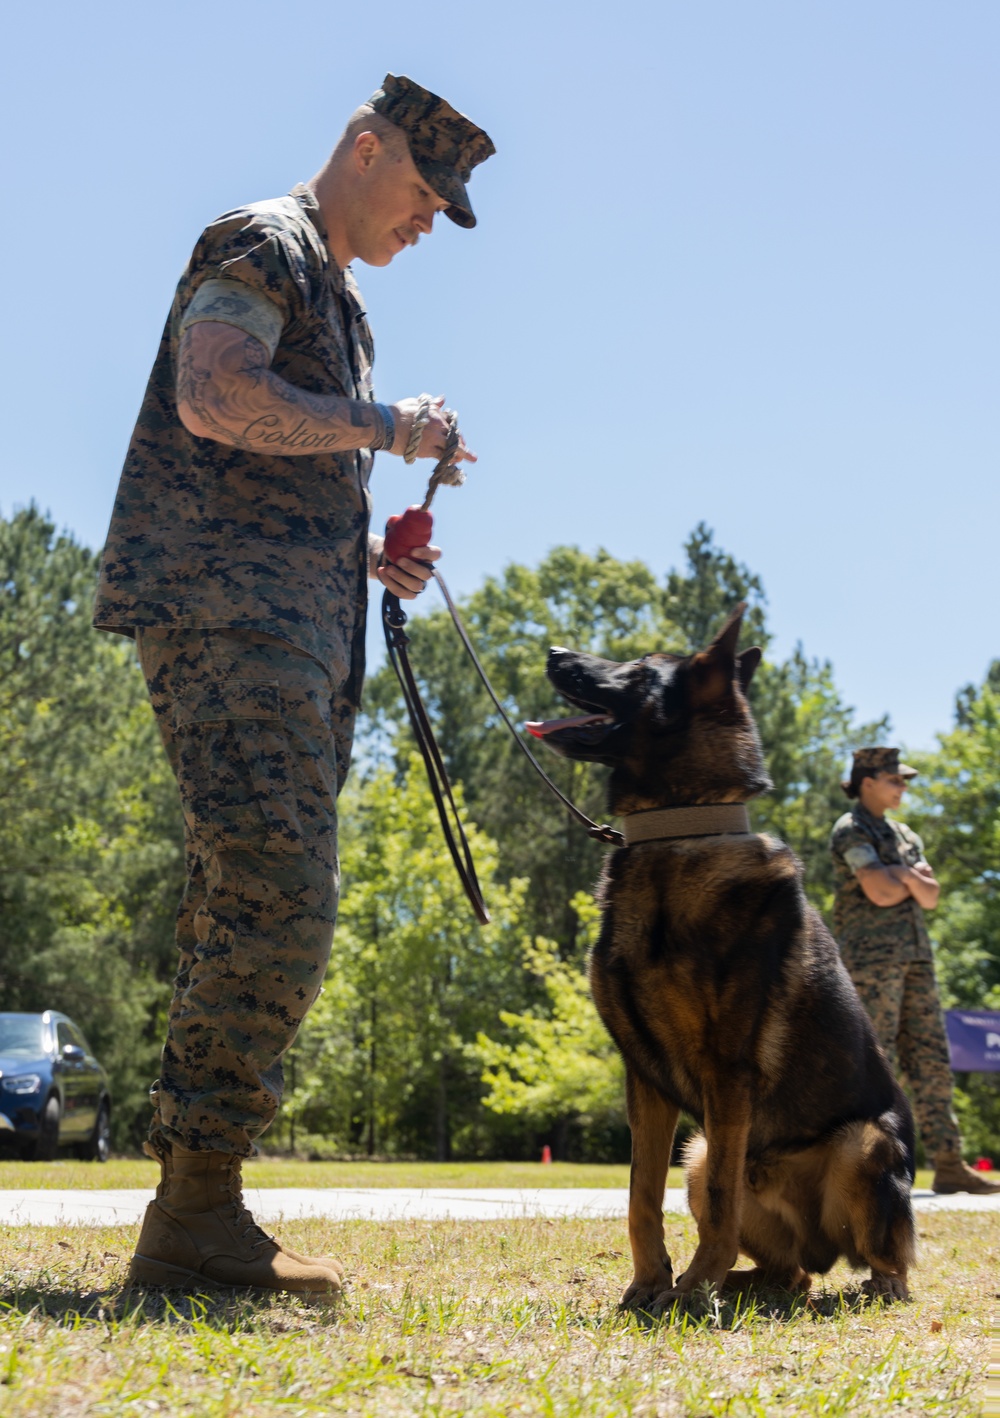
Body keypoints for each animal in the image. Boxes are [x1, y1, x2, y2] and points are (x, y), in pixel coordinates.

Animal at [527, 609, 919, 1304]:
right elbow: (641, 1196)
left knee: (881, 1264)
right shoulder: (645, 1080)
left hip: (862, 1142)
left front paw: (688, 1290)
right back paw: (738, 1286)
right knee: (787, 1270)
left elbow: (717, 1203)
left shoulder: (727, 1069)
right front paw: (650, 1285)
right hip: (702, 1146)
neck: (679, 829)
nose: (552, 650)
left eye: (636, 670)